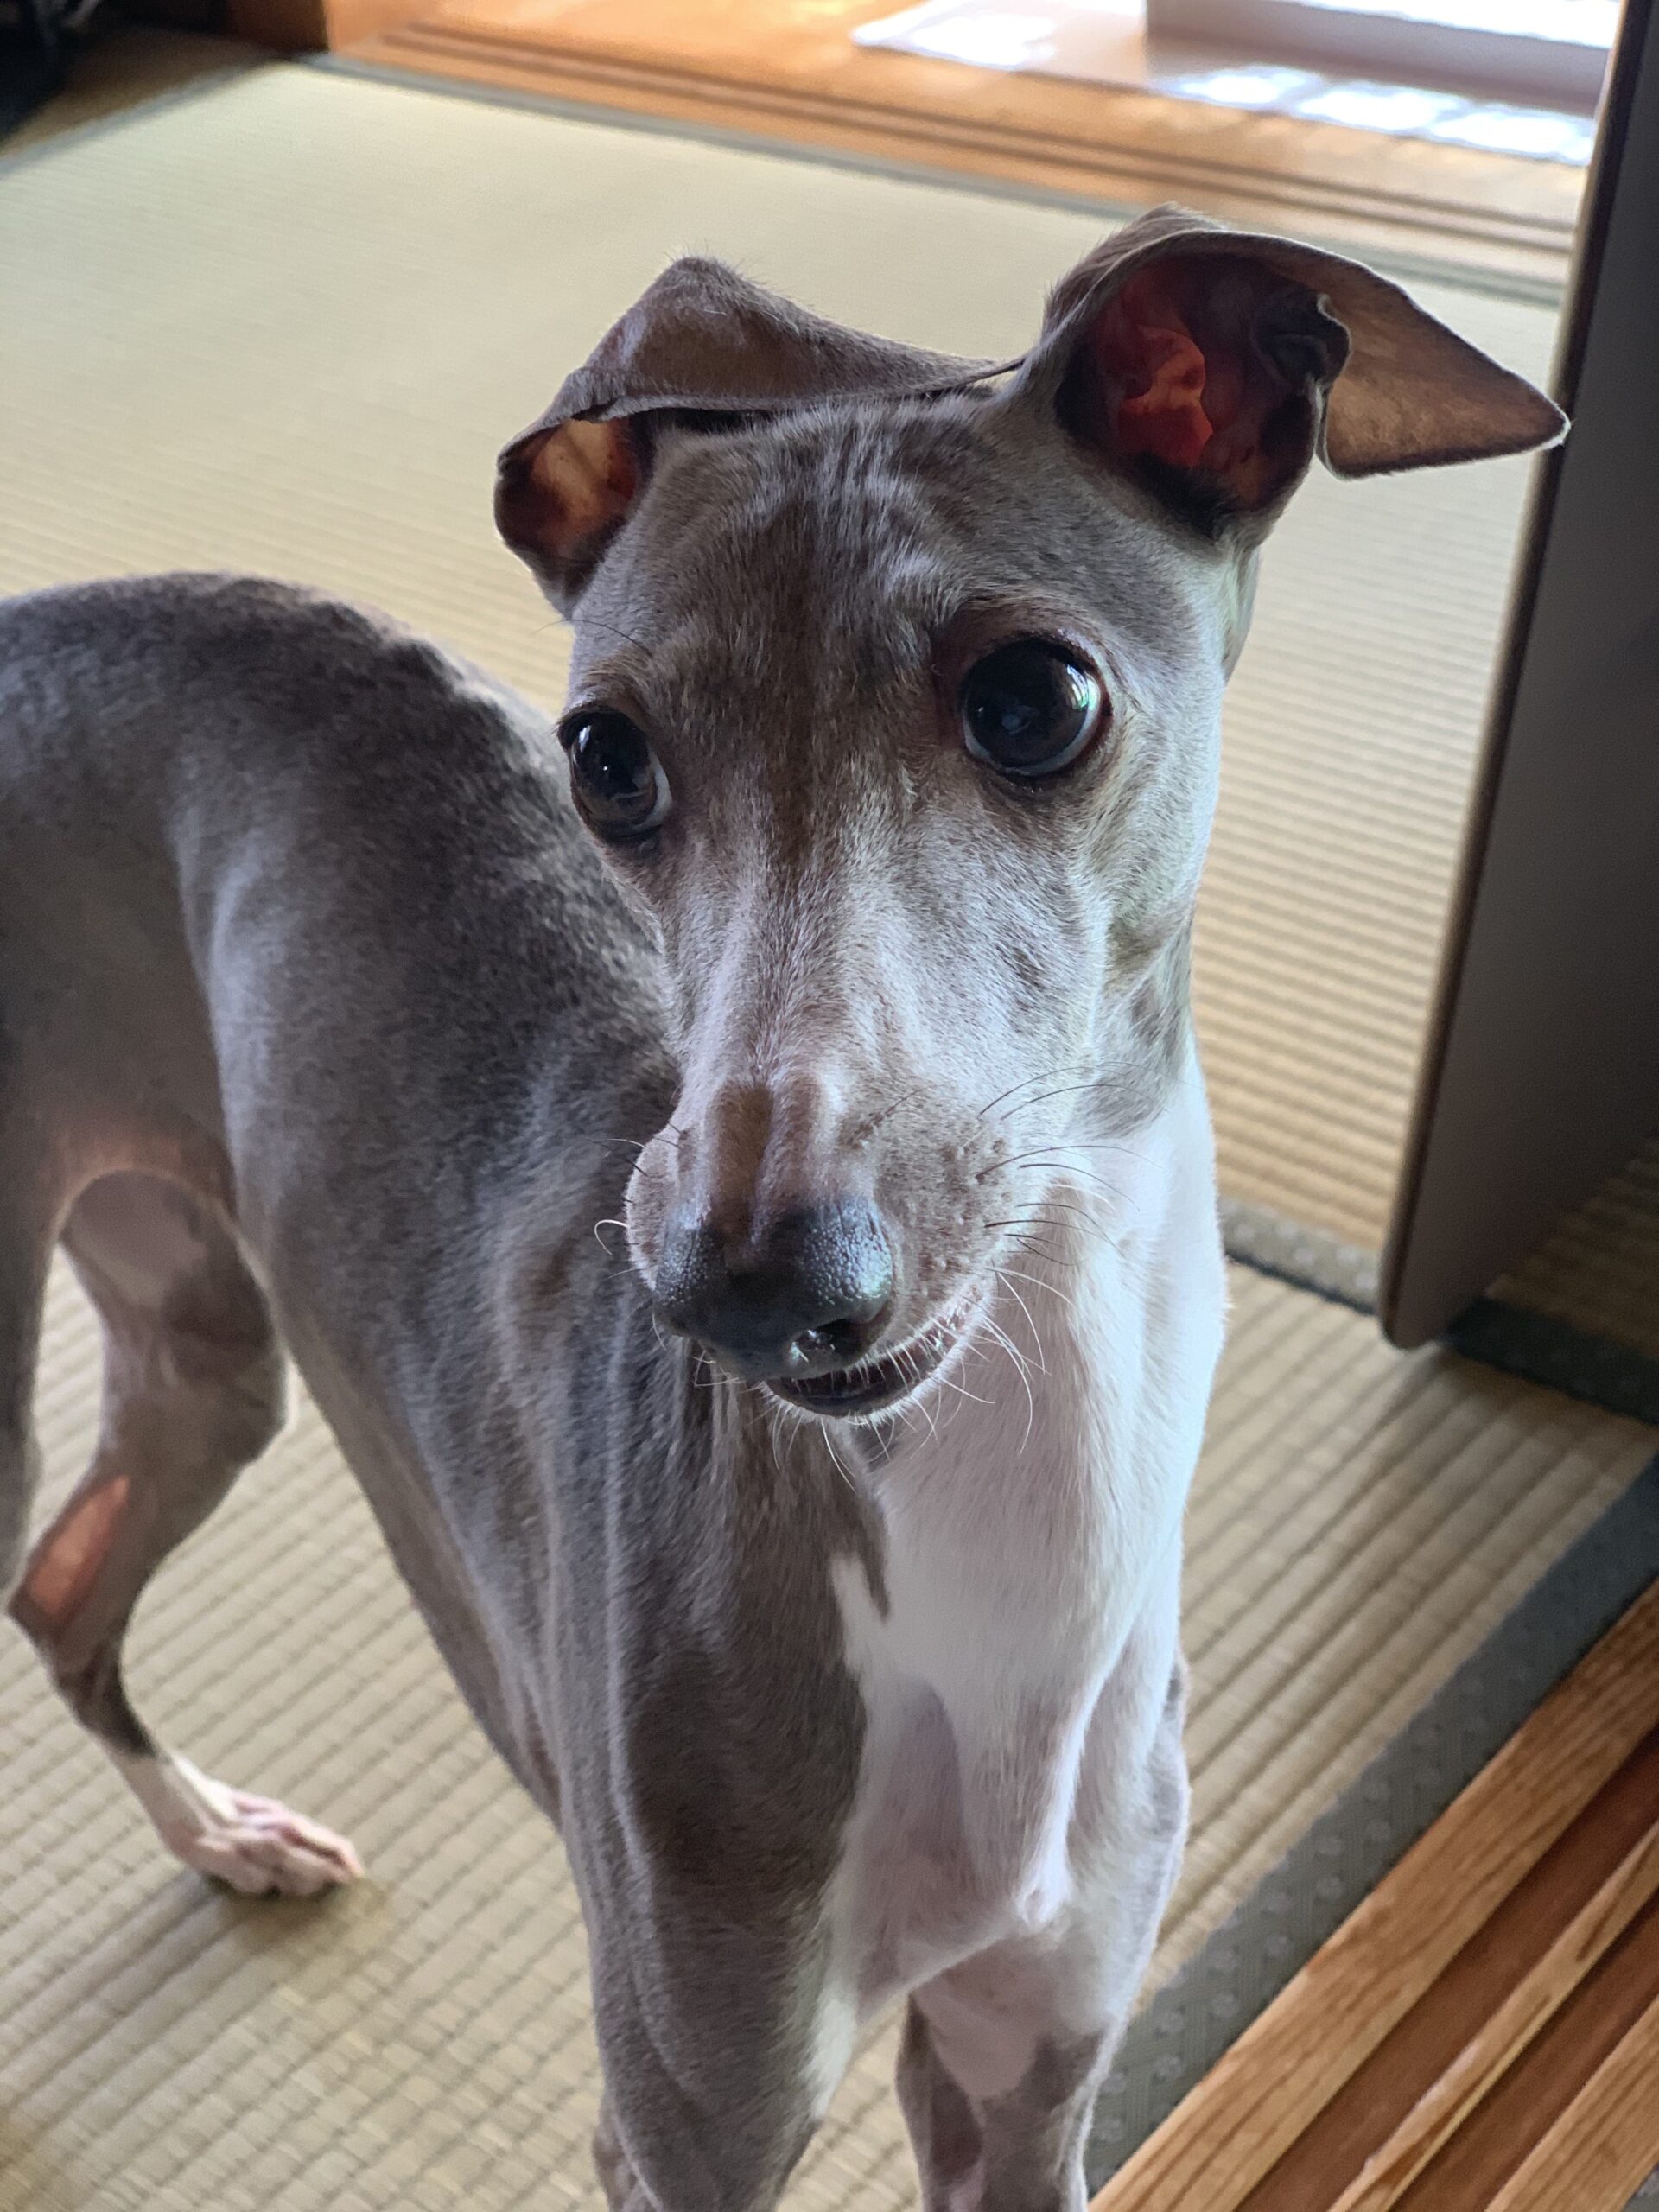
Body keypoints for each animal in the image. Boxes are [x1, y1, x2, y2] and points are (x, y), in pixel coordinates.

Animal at [0, 206, 1561, 2211]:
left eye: (1039, 698)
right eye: (602, 752)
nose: (749, 1284)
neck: (1006, 1566)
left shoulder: (1025, 2082)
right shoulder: (684, 2122)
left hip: (206, 1339)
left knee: (65, 1589)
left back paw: (223, 1833)